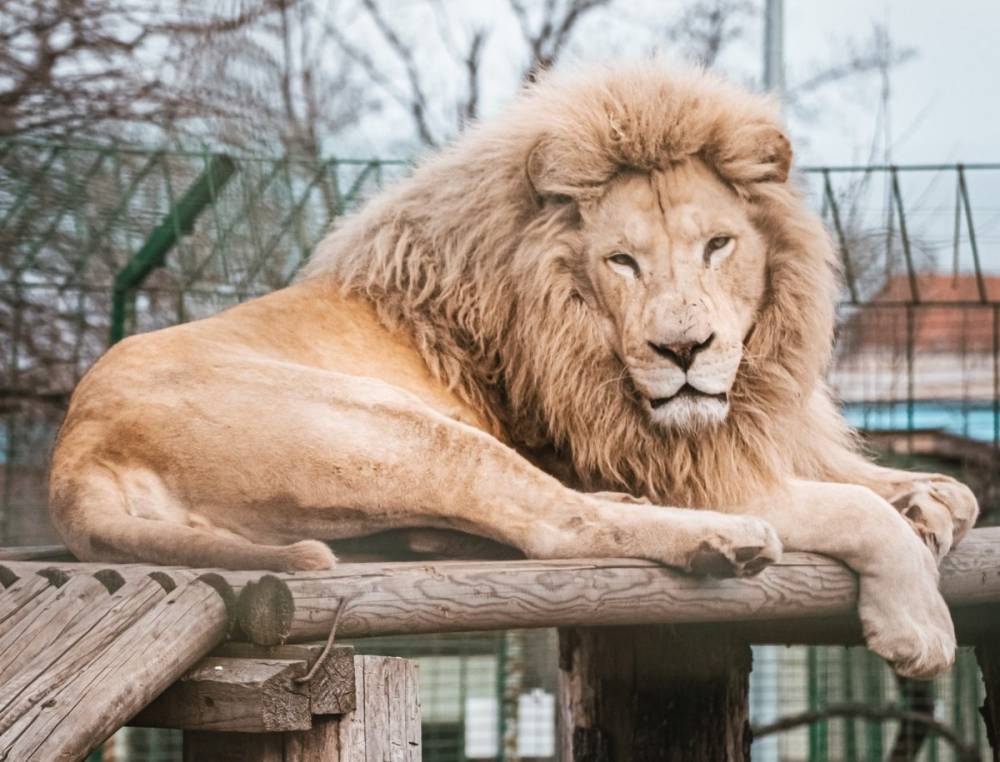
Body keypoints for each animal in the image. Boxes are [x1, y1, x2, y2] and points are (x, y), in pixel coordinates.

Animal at [48, 62, 976, 672]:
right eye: (622, 263)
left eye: (718, 245)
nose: (683, 352)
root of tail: (73, 455)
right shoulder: (683, 463)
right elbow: (860, 512)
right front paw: (918, 624)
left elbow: (924, 489)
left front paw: (929, 497)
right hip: (397, 432)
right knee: (553, 524)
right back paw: (719, 540)